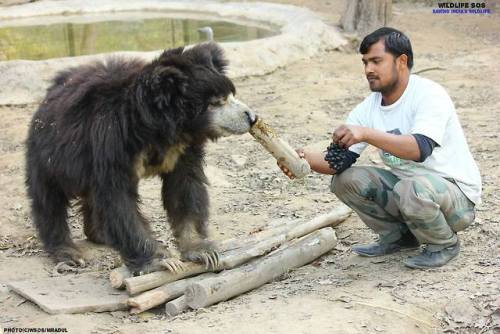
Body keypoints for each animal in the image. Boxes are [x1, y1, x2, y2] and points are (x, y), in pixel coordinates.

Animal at [25, 42, 256, 274]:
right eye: (216, 102)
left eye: (231, 94)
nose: (252, 117)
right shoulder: (111, 143)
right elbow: (117, 199)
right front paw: (161, 261)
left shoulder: (183, 150)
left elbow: (185, 187)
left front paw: (202, 251)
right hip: (50, 155)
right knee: (48, 198)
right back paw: (68, 252)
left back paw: (100, 235)